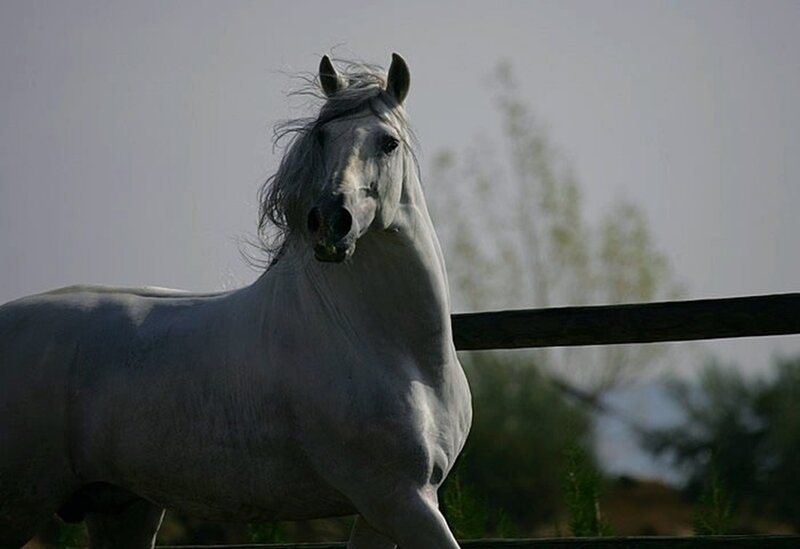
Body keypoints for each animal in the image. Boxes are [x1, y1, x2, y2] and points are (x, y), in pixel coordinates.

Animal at [0, 53, 472, 548]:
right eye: (322, 136)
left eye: (388, 143)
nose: (329, 221)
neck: (387, 345)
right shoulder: (398, 499)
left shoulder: (380, 512)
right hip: (20, 504)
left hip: (122, 508)